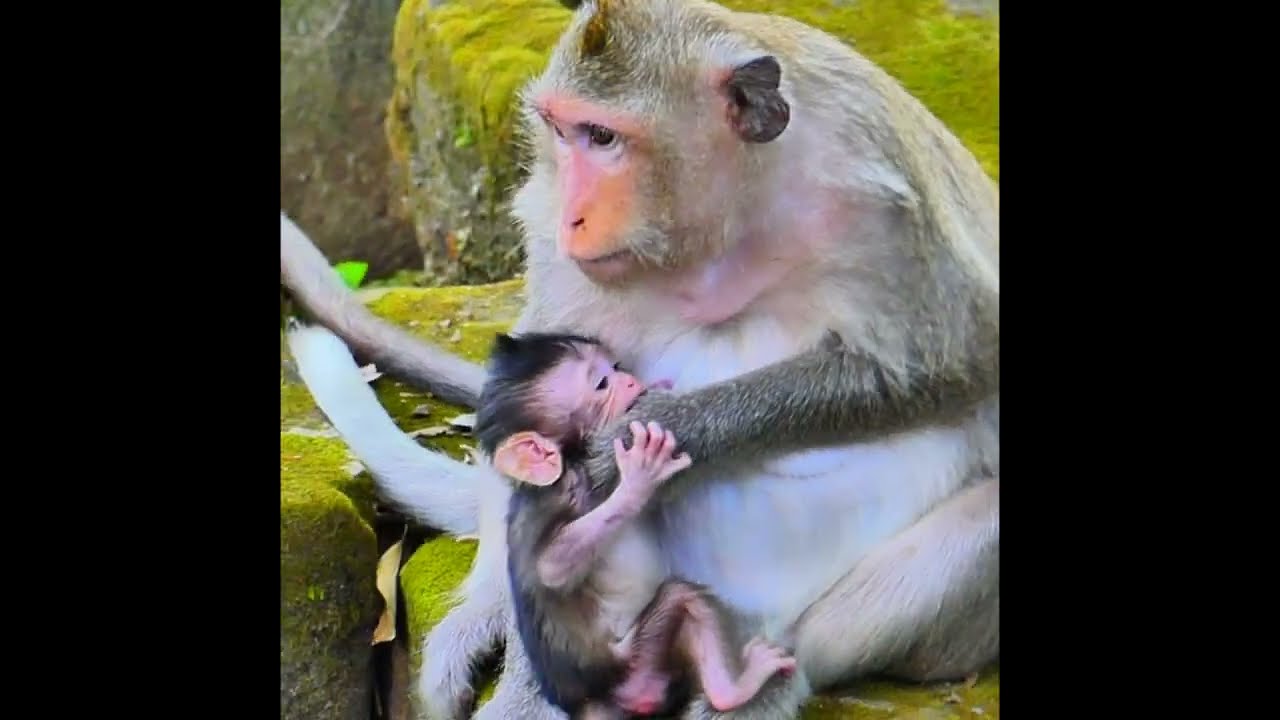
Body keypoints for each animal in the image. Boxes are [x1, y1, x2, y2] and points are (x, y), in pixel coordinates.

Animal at [474, 331, 797, 719]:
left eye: (616, 366)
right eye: (601, 383)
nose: (629, 379)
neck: (572, 463)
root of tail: (600, 700)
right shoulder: (555, 497)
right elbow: (552, 568)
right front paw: (638, 480)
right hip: (634, 662)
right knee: (680, 596)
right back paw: (733, 691)